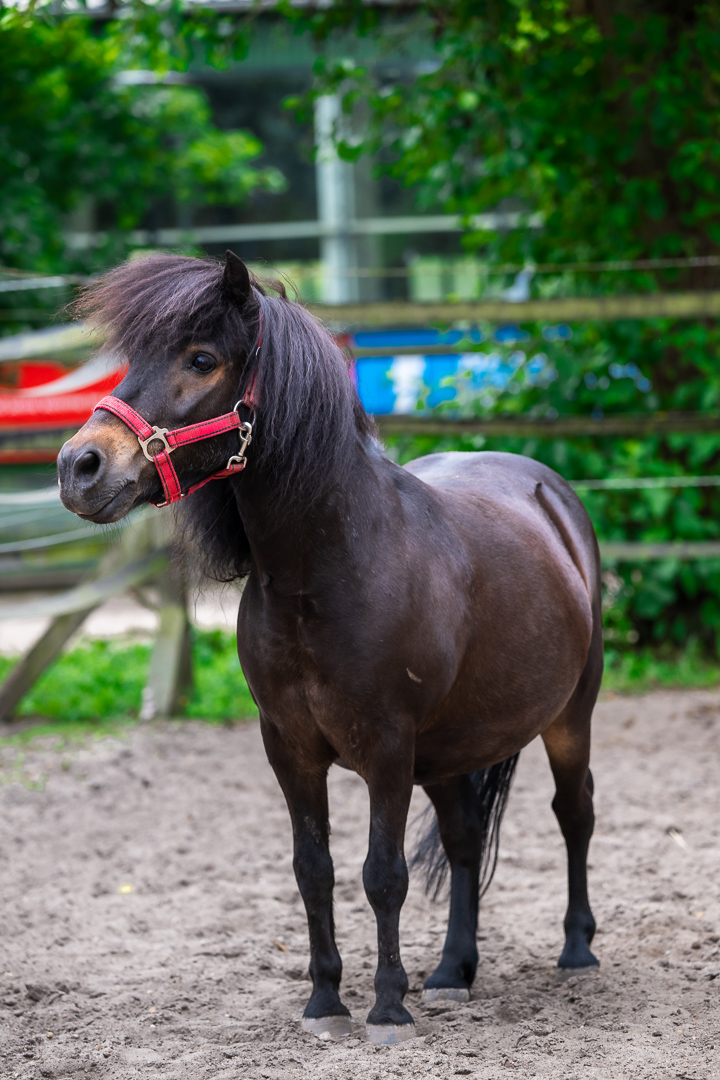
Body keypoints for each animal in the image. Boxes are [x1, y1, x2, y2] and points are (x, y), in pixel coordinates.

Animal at [58, 251, 603, 1045]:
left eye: (201, 359)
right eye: (135, 359)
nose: (80, 466)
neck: (325, 572)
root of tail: (551, 495)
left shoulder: (388, 748)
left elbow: (383, 874)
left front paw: (387, 1008)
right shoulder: (289, 748)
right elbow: (313, 868)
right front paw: (324, 1002)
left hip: (569, 717)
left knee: (574, 812)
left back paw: (577, 950)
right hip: (448, 750)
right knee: (466, 837)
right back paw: (452, 971)